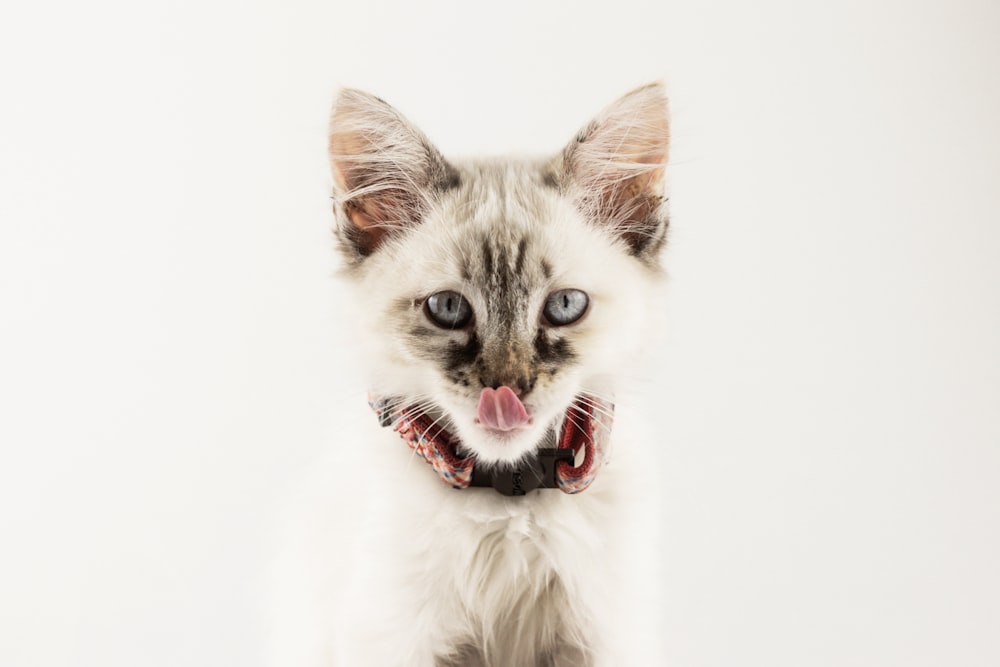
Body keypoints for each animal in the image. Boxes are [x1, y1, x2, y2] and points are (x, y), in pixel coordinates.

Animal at [272, 85, 672, 667]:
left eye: (565, 306)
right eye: (447, 308)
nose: (506, 392)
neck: (509, 497)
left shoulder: (607, 636)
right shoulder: (390, 633)